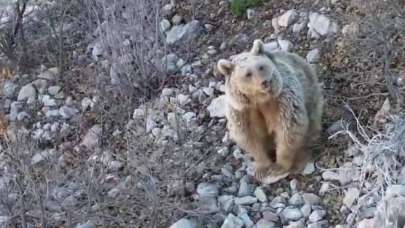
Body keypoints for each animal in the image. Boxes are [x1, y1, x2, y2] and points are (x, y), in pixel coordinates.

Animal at [216, 38, 324, 183]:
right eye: (248, 74)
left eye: (261, 66)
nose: (264, 82)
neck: (259, 99)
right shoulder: (242, 111)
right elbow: (249, 137)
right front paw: (262, 168)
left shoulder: (282, 100)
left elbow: (289, 129)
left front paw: (278, 166)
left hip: (312, 98)